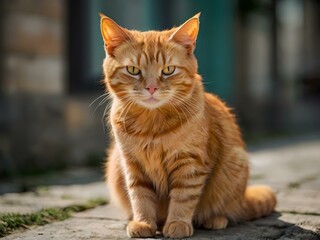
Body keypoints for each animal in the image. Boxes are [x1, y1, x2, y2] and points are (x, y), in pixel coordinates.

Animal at [100, 12, 276, 237]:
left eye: (168, 70)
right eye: (133, 70)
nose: (151, 88)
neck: (151, 123)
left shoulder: (190, 164)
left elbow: (183, 198)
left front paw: (177, 224)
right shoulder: (132, 164)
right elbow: (140, 197)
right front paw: (143, 223)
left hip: (235, 166)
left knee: (230, 210)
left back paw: (214, 220)